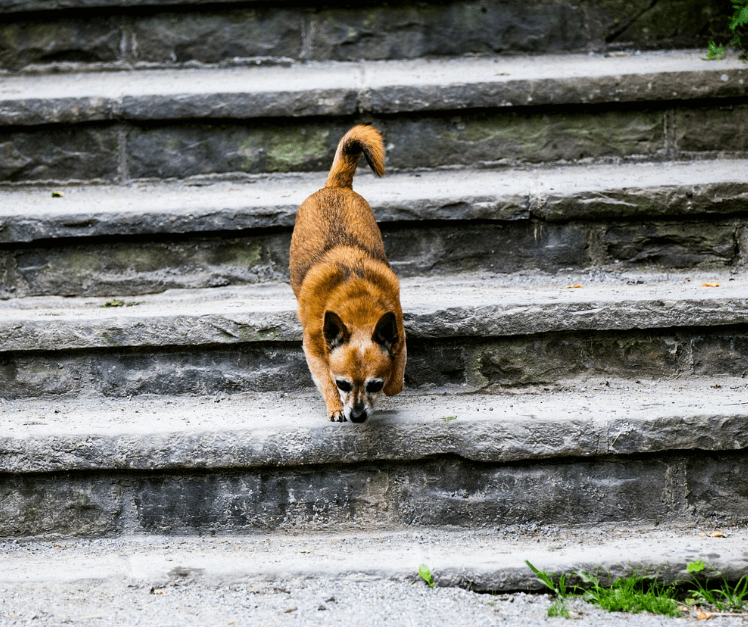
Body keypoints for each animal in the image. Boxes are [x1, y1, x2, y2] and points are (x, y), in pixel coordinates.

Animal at [290, 125, 406, 424]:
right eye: (343, 383)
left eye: (375, 385)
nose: (357, 415)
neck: (357, 304)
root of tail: (336, 186)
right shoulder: (313, 349)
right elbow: (324, 378)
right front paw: (334, 406)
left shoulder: (399, 335)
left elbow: (396, 382)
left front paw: (392, 383)